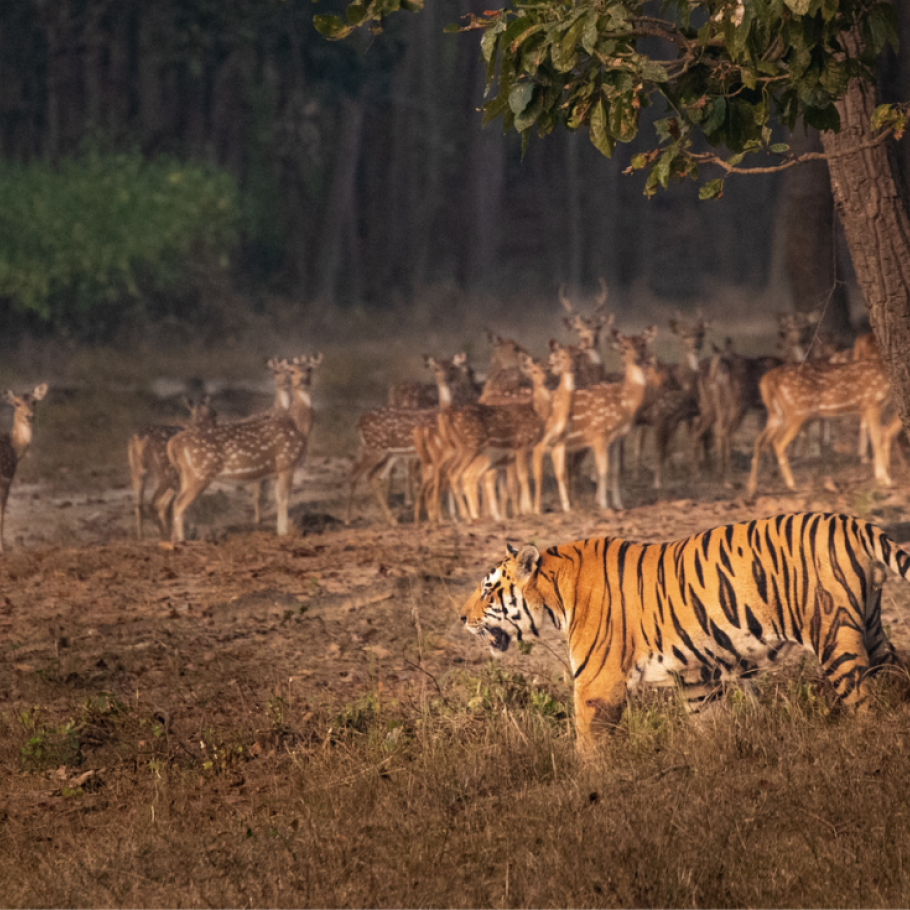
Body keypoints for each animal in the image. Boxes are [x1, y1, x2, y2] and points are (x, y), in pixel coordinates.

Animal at [0, 384, 47, 556]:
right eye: (17, 403)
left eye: (34, 402)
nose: (29, 416)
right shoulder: (6, 477)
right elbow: (2, 513)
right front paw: (2, 549)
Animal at [169, 356, 322, 540]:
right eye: (292, 371)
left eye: (309, 369)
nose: (303, 380)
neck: (299, 427)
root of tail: (173, 442)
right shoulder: (286, 461)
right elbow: (284, 498)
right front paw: (284, 532)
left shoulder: (275, 470)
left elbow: (277, 498)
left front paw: (280, 530)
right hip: (201, 471)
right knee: (178, 504)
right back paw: (181, 541)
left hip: (187, 473)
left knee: (176, 502)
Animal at [464, 512, 910, 756]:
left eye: (487, 589)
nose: (461, 617)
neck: (557, 593)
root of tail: (851, 522)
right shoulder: (696, 677)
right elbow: (710, 725)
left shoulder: (596, 683)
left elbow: (588, 744)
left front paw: (588, 788)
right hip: (870, 628)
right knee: (896, 676)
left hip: (835, 637)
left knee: (864, 703)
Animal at [536, 330, 656, 516]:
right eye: (625, 346)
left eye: (643, 344)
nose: (637, 358)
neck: (624, 402)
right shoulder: (599, 433)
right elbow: (603, 469)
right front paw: (603, 504)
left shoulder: (616, 438)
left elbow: (614, 470)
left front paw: (618, 504)